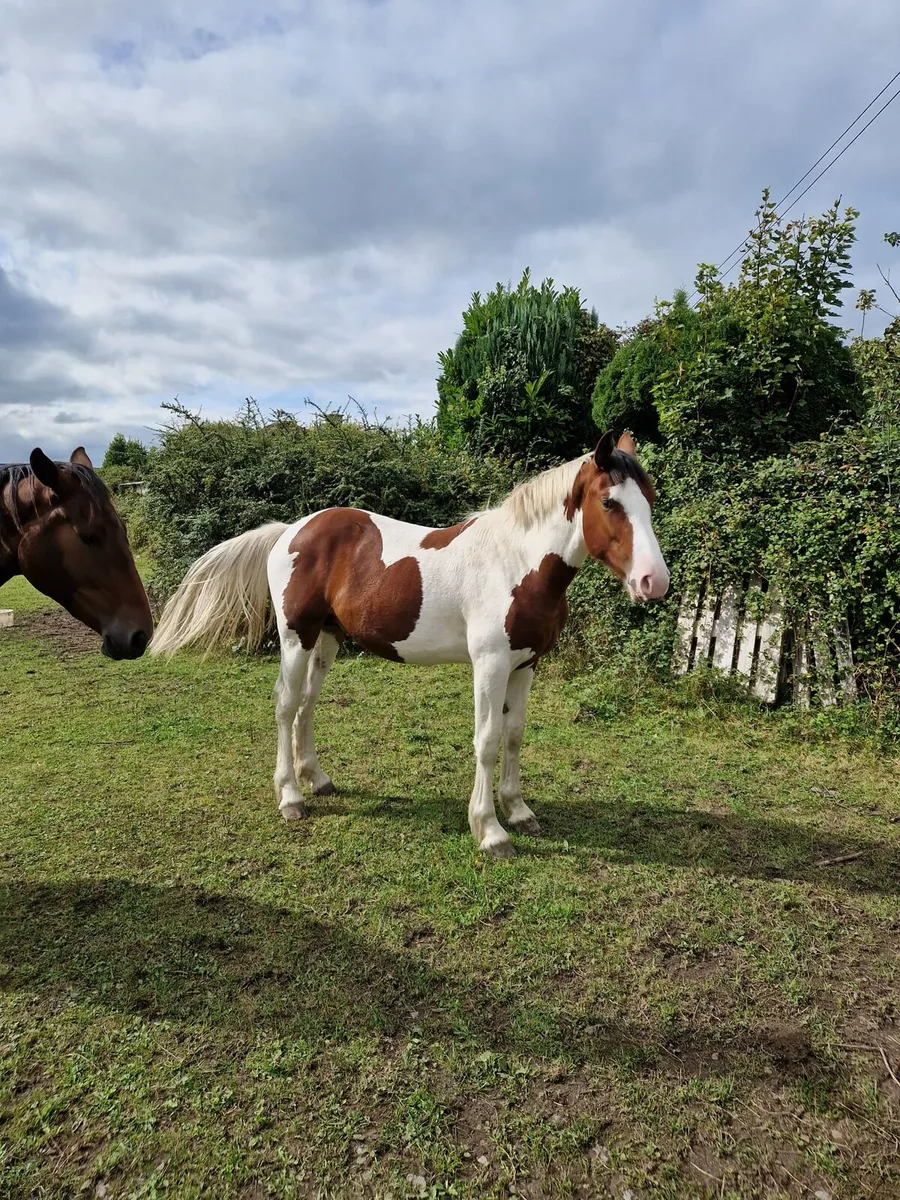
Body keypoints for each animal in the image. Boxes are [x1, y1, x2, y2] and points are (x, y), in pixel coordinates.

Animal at [151, 431, 669, 856]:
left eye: (650, 498)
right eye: (609, 502)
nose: (654, 581)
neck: (516, 562)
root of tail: (289, 531)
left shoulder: (526, 665)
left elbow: (515, 735)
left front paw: (519, 811)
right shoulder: (490, 665)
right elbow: (486, 740)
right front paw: (490, 831)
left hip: (326, 638)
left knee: (307, 704)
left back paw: (315, 778)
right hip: (296, 636)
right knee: (285, 705)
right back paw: (291, 797)